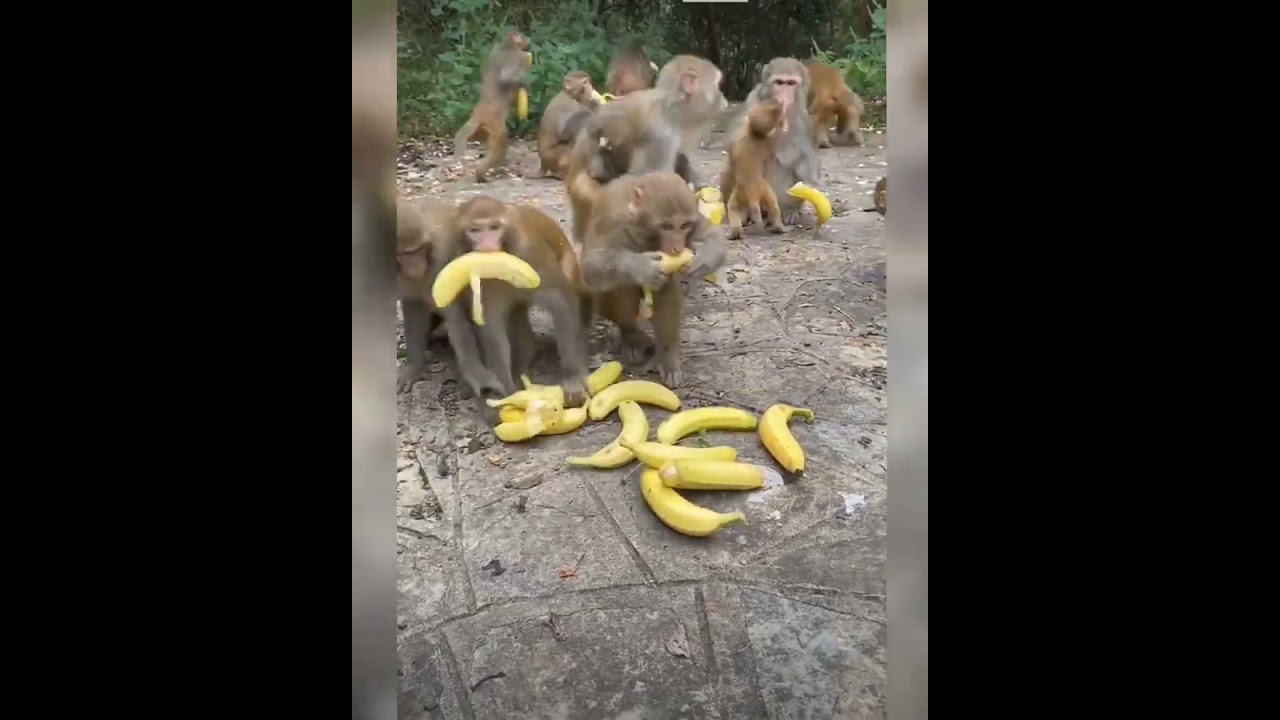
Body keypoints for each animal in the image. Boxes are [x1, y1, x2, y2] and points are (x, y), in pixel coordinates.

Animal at [395, 197, 509, 406]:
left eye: (420, 250)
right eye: (406, 254)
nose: (416, 266)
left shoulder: (440, 261)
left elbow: (456, 318)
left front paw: (478, 376)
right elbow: (414, 307)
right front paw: (414, 367)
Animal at [449, 196, 592, 406]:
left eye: (494, 227)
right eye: (475, 230)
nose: (488, 246)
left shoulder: (531, 253)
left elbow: (561, 302)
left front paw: (573, 378)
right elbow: (492, 324)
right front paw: (507, 389)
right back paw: (525, 357)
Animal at [453, 31, 531, 183]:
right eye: (523, 35)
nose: (528, 39)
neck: (507, 45)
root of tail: (479, 111)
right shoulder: (516, 56)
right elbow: (506, 77)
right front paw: (523, 83)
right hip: (494, 121)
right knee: (500, 140)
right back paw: (490, 168)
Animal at [577, 172, 728, 388]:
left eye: (684, 226)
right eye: (666, 226)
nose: (677, 248)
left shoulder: (695, 217)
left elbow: (714, 236)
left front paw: (702, 261)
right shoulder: (612, 223)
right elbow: (591, 266)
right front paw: (642, 266)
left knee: (666, 288)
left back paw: (666, 355)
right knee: (621, 288)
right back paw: (631, 335)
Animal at [725, 99, 790, 239]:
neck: (753, 135)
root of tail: (751, 194)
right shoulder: (767, 141)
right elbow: (768, 127)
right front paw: (780, 111)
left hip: (738, 195)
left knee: (733, 209)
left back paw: (735, 232)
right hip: (764, 190)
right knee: (773, 205)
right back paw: (780, 228)